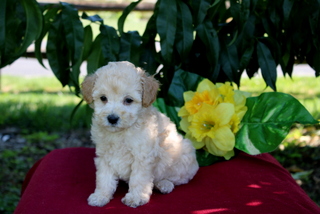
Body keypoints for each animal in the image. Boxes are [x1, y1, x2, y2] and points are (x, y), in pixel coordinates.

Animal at [81, 61, 199, 207]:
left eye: (128, 100)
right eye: (103, 98)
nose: (112, 118)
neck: (121, 132)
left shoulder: (142, 156)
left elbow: (138, 179)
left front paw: (135, 198)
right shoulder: (105, 155)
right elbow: (104, 178)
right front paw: (100, 196)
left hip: (181, 158)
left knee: (177, 179)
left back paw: (164, 184)